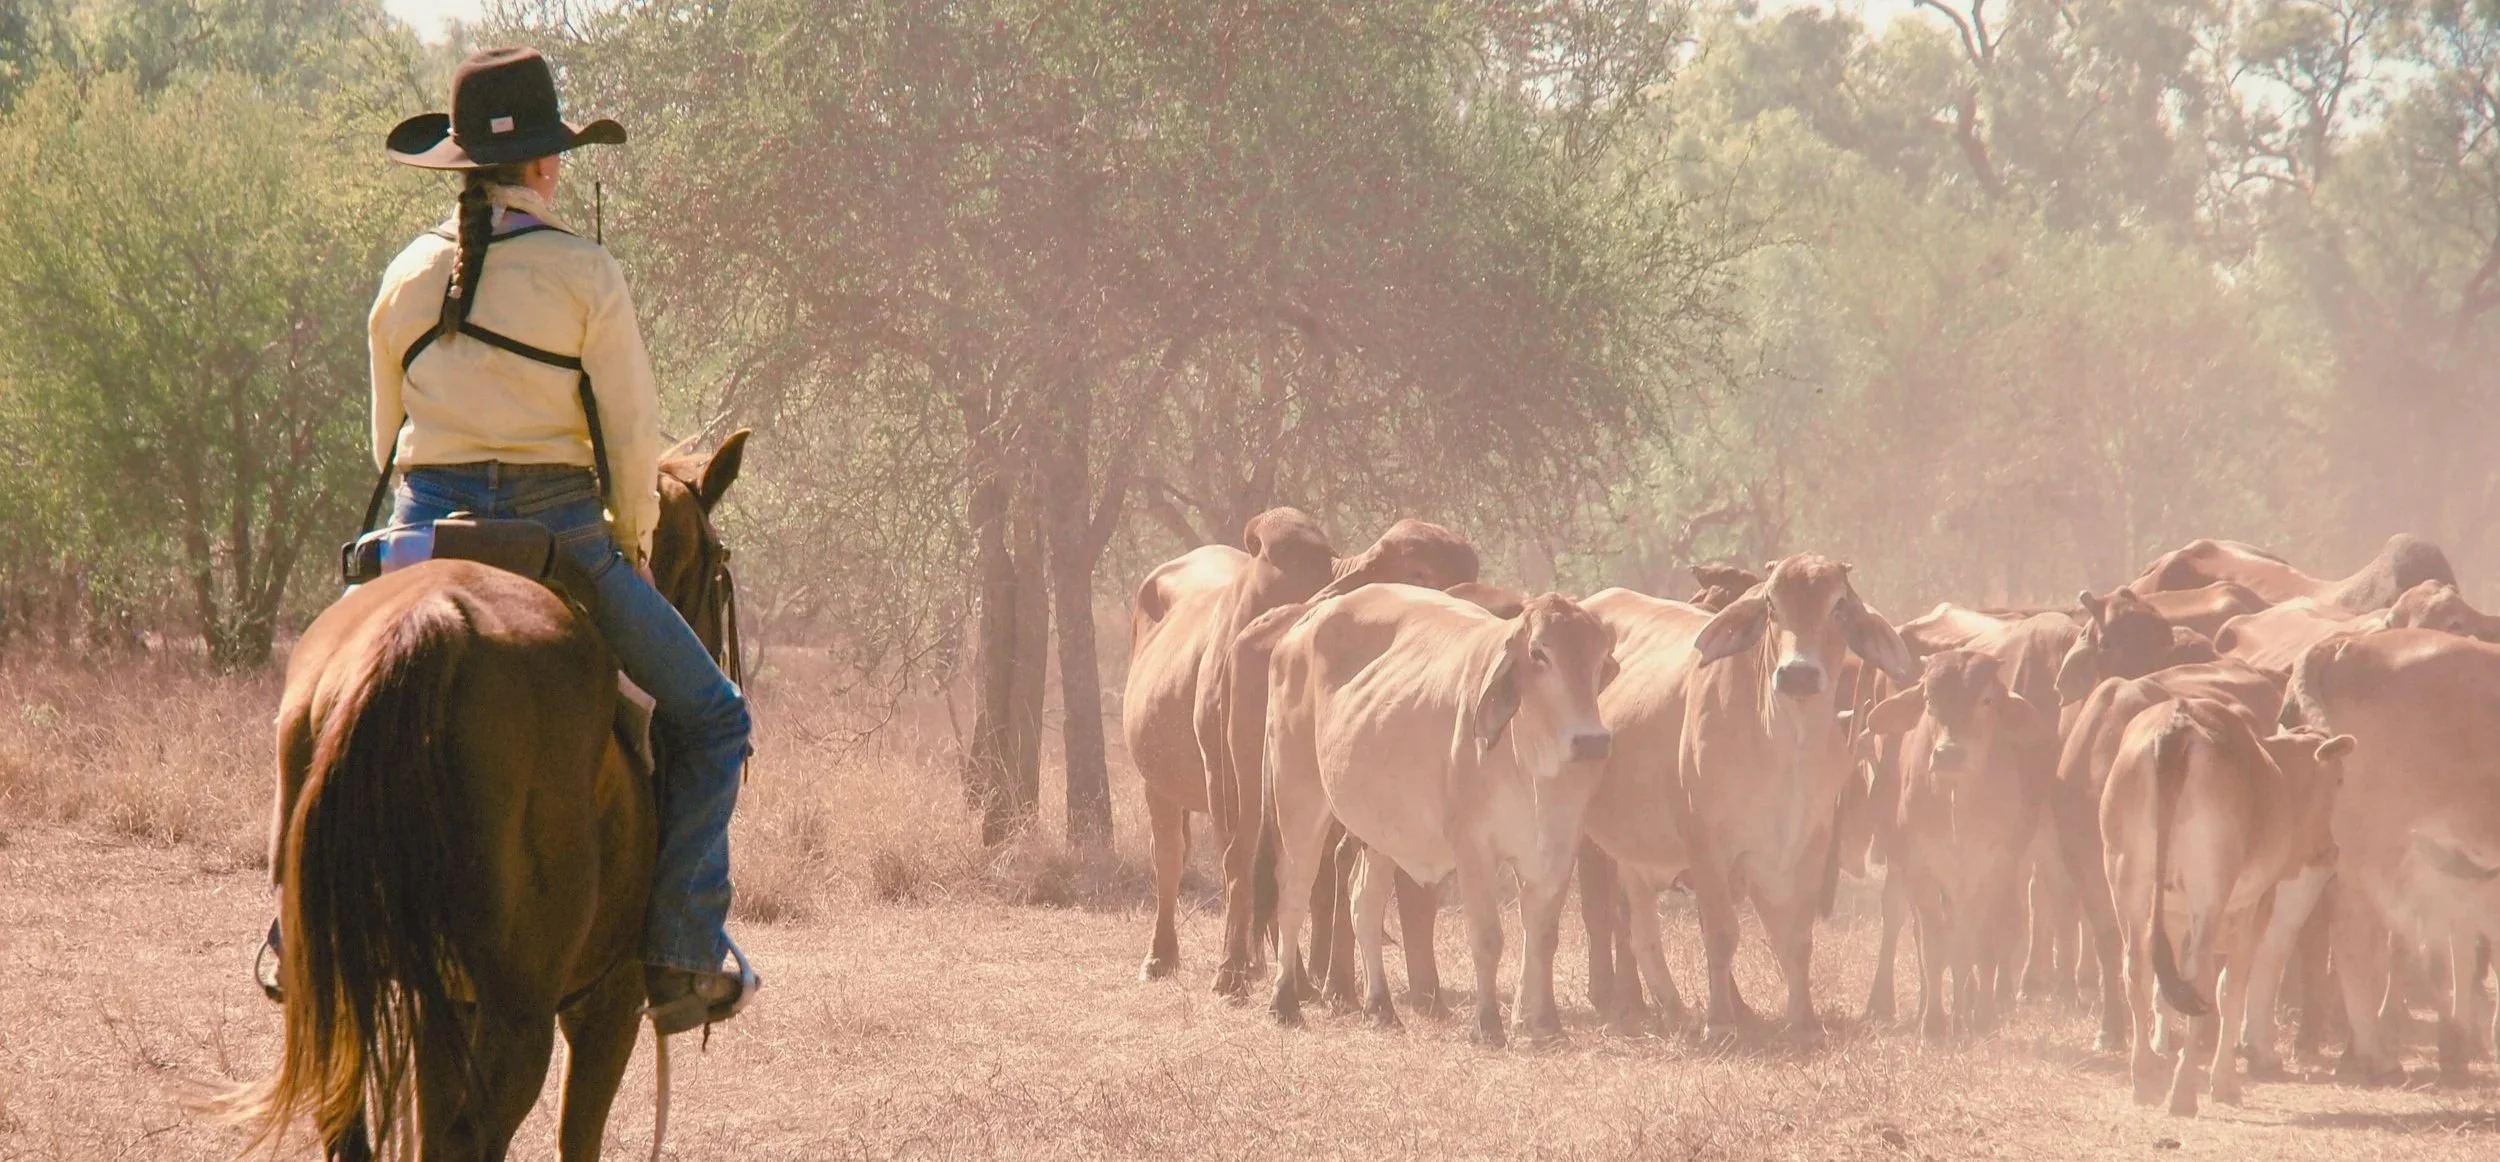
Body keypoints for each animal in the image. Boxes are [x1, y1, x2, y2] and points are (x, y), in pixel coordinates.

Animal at [227, 430, 749, 1160]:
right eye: (720, 560)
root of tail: (431, 625)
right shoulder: (607, 1002)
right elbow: (576, 1137)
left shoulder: (443, 1000)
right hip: (521, 1014)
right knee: (474, 1135)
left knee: (349, 1122)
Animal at [1265, 588, 1617, 1045]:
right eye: (1539, 653)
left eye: (1599, 656)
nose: (1591, 742)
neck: (1532, 763)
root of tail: (1305, 622)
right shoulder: (1473, 848)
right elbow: (1488, 938)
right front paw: (1488, 1025)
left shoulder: (1558, 849)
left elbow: (1542, 937)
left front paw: (1546, 1026)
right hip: (1299, 794)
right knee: (1293, 890)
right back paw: (1283, 1002)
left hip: (1382, 830)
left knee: (1364, 902)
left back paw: (1380, 1006)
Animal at [1676, 554, 1918, 1041]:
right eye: (1771, 604)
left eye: (1838, 606)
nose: (1799, 674)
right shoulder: (1706, 840)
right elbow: (1723, 932)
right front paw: (1720, 1022)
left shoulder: (1812, 841)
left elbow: (1797, 938)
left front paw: (1802, 1020)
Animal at [1862, 649, 2059, 1037]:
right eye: (1928, 700)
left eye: (1986, 700)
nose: (1949, 753)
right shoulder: (1920, 869)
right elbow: (1934, 945)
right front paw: (1934, 1023)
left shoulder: (1995, 870)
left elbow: (1981, 945)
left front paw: (1980, 1017)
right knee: (1899, 917)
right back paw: (1890, 1003)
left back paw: (1967, 1005)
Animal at [2101, 697, 2350, 1115]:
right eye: (2338, 782)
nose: (2331, 850)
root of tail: (2177, 726)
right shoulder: (2254, 909)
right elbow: (2231, 990)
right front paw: (2225, 1081)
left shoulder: (2174, 918)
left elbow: (2165, 991)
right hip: (2210, 886)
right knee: (2198, 978)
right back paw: (2183, 1092)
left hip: (2125, 878)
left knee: (2137, 969)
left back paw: (2145, 1078)